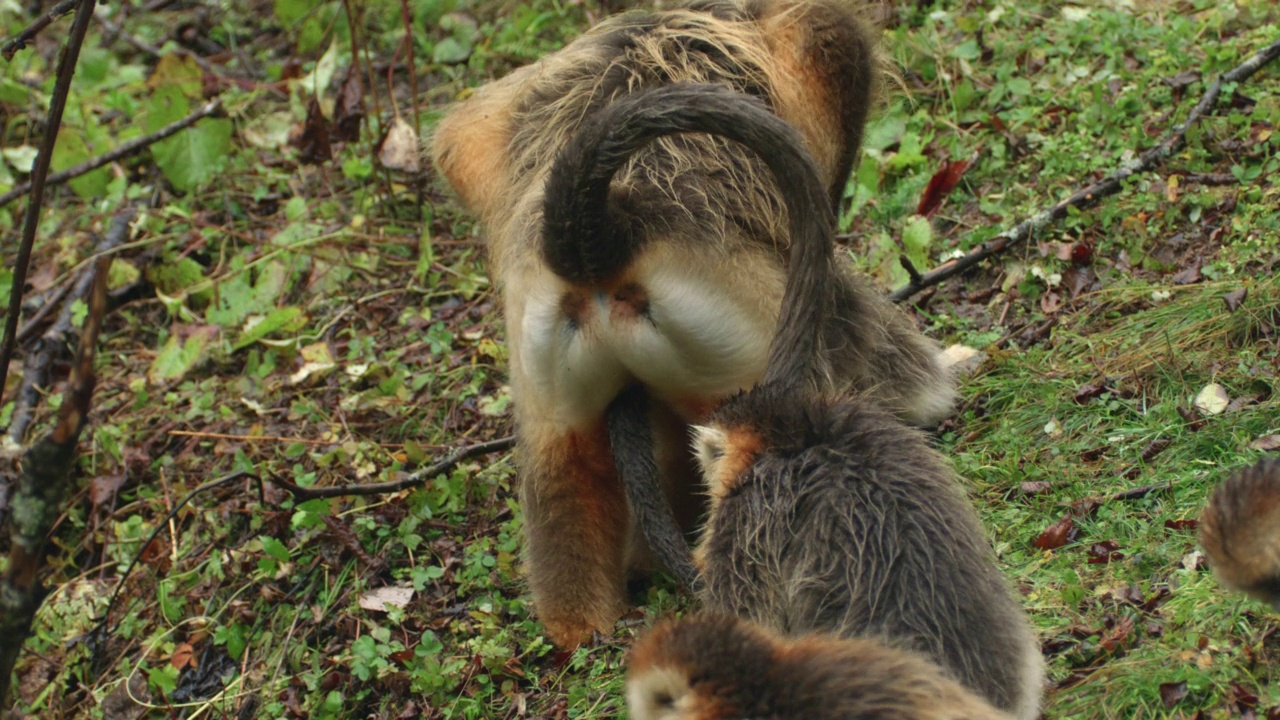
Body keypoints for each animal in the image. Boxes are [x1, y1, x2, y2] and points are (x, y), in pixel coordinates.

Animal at [432, 0, 962, 645]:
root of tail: (600, 236)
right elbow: (831, 48)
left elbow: (461, 140)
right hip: (750, 329)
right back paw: (924, 391)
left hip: (555, 363)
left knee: (564, 470)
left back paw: (581, 624)